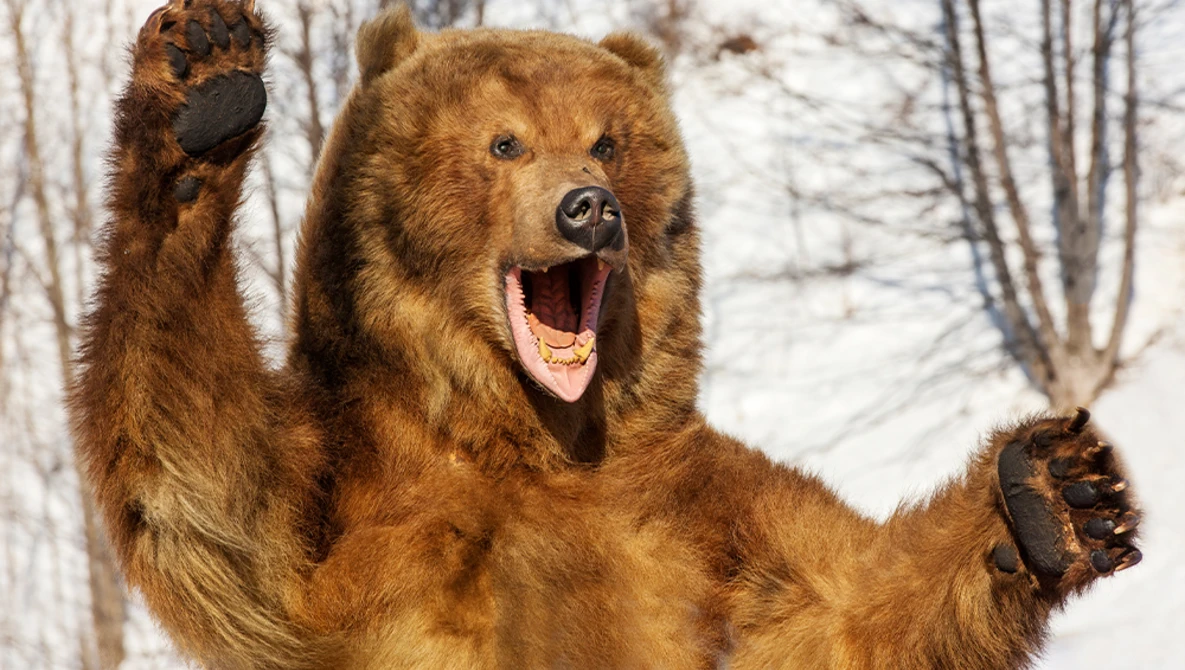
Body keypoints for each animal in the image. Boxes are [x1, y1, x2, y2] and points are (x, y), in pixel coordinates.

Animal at [70, 1, 1142, 668]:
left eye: (607, 140)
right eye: (503, 141)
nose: (588, 208)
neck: (534, 437)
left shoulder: (698, 515)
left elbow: (847, 613)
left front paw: (1054, 496)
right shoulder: (353, 497)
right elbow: (207, 486)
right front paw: (205, 82)